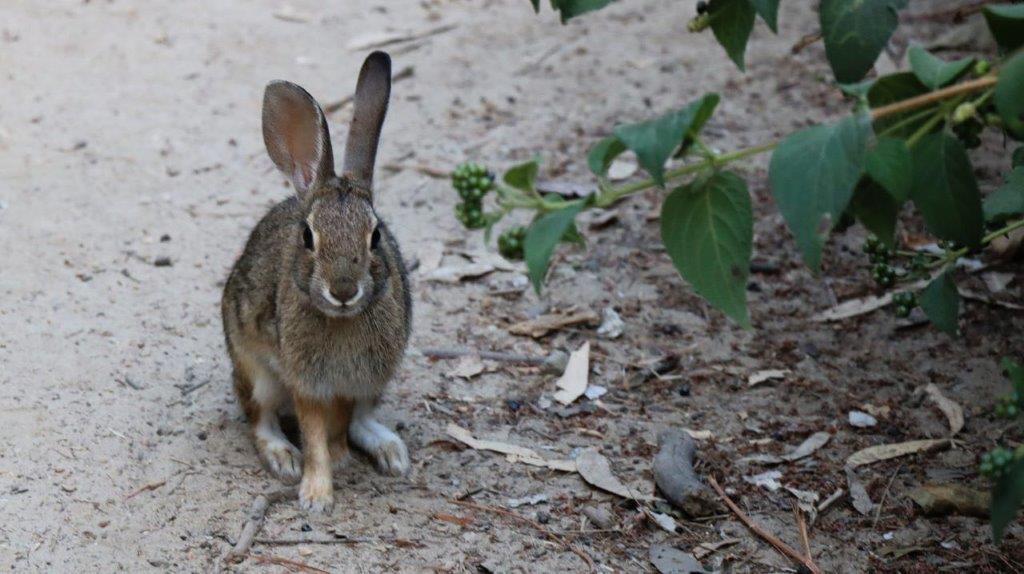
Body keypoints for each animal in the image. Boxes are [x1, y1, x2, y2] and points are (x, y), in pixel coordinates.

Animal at [223, 51, 411, 511]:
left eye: (376, 236)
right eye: (308, 237)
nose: (343, 290)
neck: (341, 321)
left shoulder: (353, 381)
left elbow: (338, 424)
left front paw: (340, 460)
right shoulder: (305, 381)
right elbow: (312, 433)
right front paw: (315, 494)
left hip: (378, 382)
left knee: (362, 419)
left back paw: (390, 452)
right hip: (255, 370)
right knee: (260, 418)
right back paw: (283, 458)